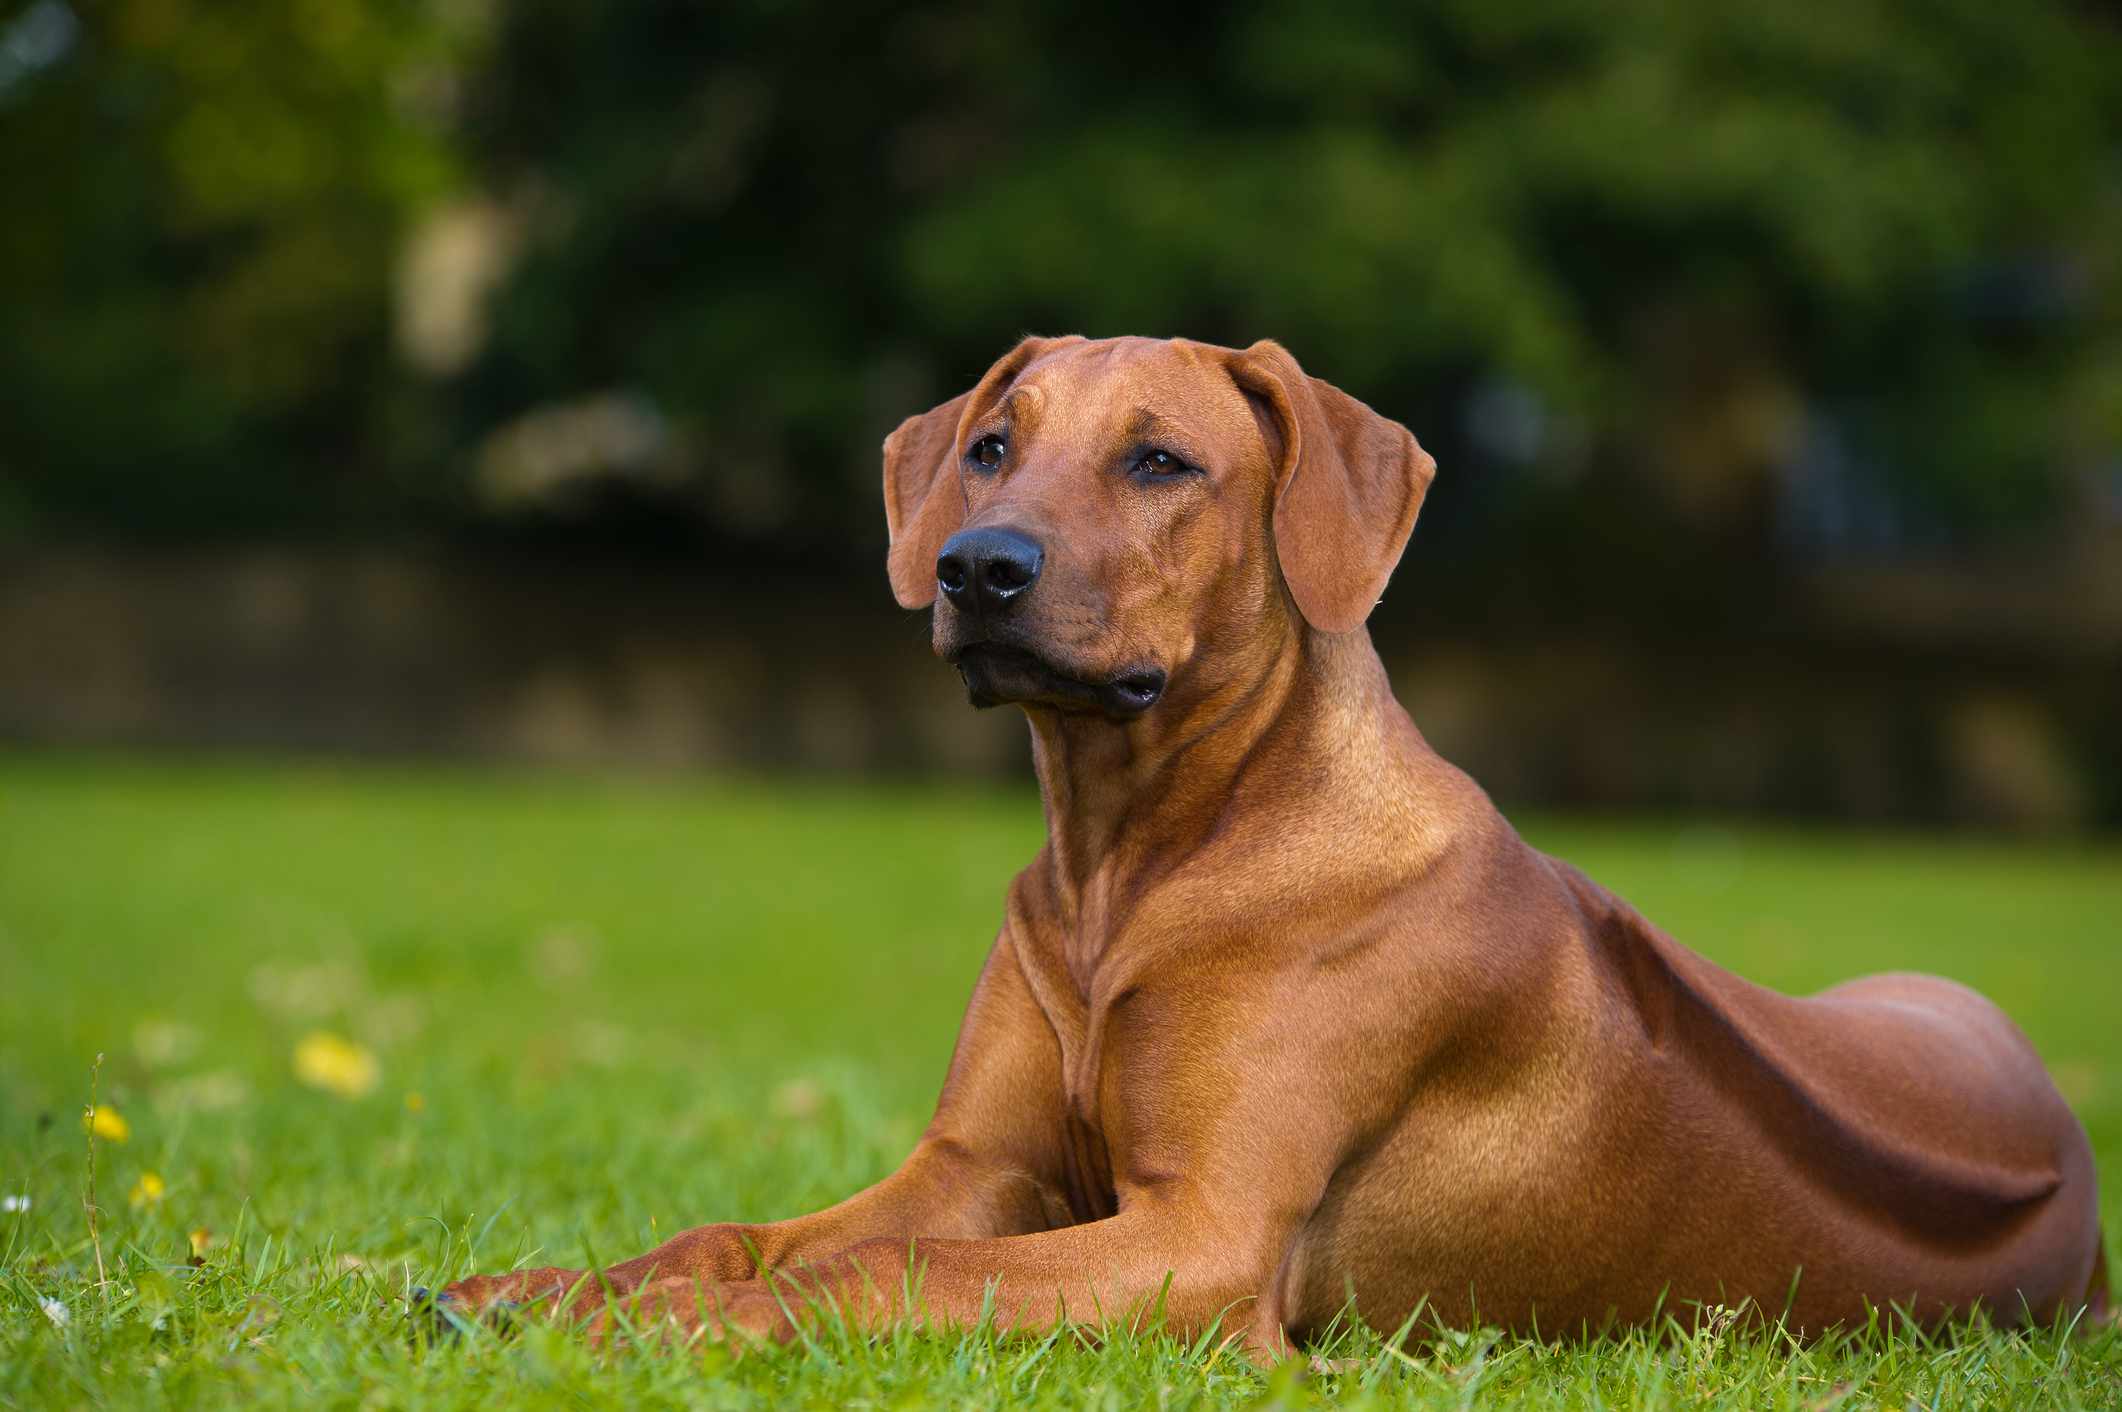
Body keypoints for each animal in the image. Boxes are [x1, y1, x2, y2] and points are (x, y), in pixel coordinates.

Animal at [435, 333, 2105, 1358]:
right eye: (987, 448)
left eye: (1160, 463)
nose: (975, 568)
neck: (1131, 862)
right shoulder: (973, 1165)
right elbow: (745, 1232)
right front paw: (550, 1284)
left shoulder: (1205, 1239)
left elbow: (890, 1269)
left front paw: (634, 1328)